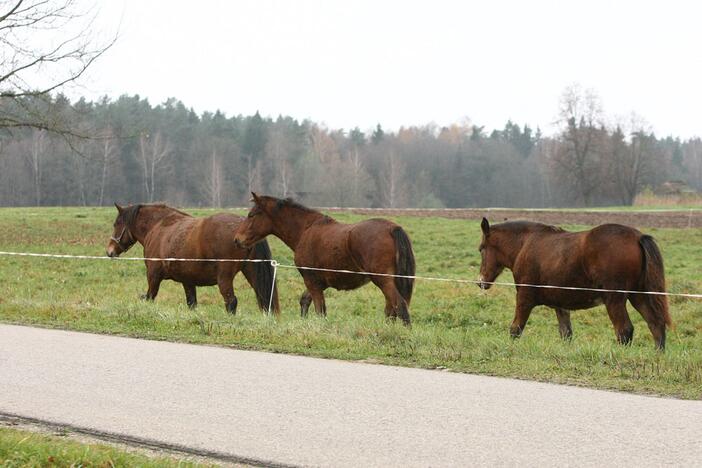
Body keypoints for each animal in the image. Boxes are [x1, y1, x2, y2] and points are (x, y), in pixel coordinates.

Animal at [106, 204, 280, 314]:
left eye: (117, 223)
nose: (109, 251)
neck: (159, 227)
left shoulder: (153, 275)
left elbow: (150, 297)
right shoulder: (188, 281)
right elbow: (191, 303)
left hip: (224, 277)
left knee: (231, 302)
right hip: (251, 272)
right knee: (263, 298)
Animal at [234, 192, 416, 324]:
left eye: (251, 215)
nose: (237, 239)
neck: (306, 230)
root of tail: (393, 228)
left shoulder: (312, 281)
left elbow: (320, 310)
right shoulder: (318, 282)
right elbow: (305, 301)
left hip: (383, 280)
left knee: (399, 305)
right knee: (392, 309)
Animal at [478, 218, 672, 348]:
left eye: (481, 249)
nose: (481, 281)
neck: (525, 244)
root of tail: (637, 237)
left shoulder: (525, 298)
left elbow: (515, 329)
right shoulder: (560, 305)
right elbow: (566, 333)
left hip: (614, 300)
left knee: (625, 330)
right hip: (639, 296)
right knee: (656, 324)